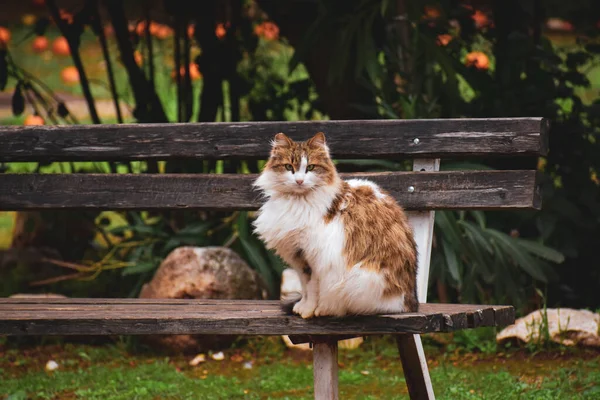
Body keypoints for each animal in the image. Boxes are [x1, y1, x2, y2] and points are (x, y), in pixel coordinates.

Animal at [252, 131, 418, 318]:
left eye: (310, 168)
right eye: (289, 167)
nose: (300, 181)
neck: (297, 201)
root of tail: (410, 304)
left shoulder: (313, 258)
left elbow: (311, 289)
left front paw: (308, 311)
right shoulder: (298, 258)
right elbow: (304, 287)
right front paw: (301, 306)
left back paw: (325, 310)